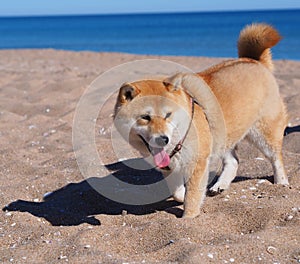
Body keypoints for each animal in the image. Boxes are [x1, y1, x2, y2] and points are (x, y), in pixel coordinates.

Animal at [113, 24, 290, 219]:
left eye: (168, 115)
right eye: (145, 117)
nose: (163, 139)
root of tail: (254, 61)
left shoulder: (197, 164)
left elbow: (192, 196)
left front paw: (188, 219)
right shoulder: (171, 167)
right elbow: (178, 192)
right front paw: (182, 197)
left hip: (263, 134)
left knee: (276, 158)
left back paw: (281, 182)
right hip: (222, 138)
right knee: (233, 161)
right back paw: (220, 186)